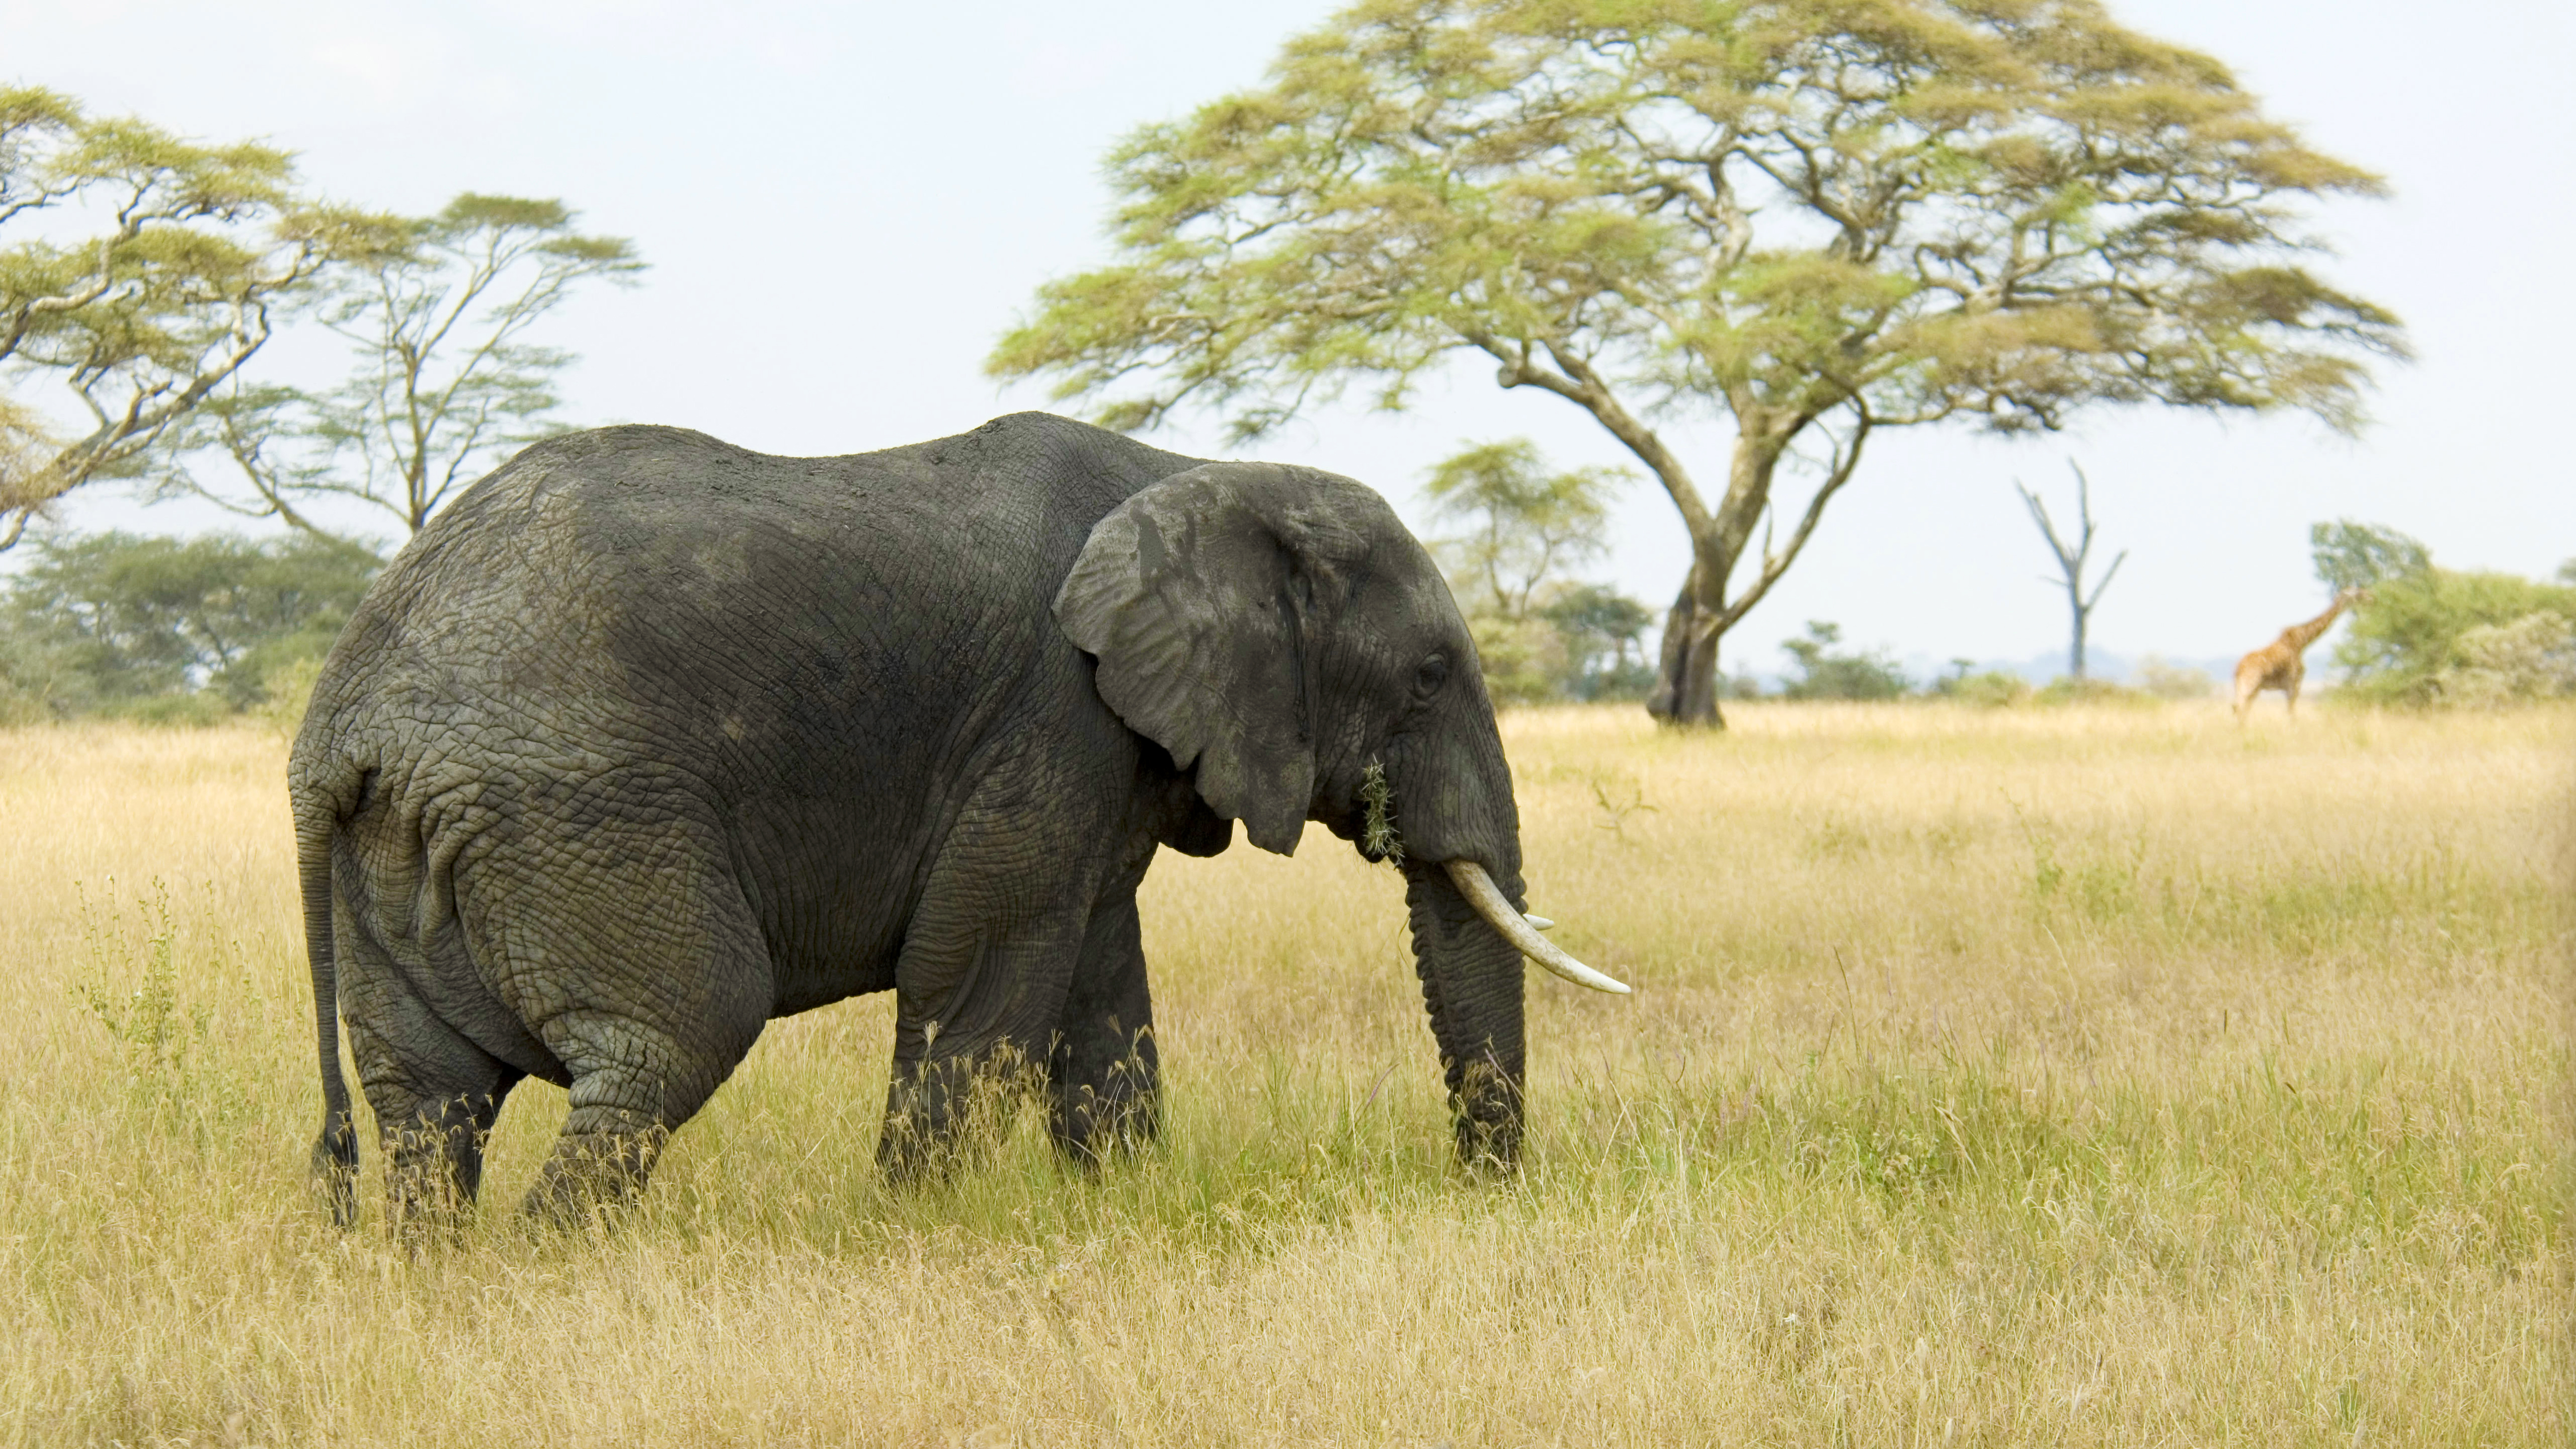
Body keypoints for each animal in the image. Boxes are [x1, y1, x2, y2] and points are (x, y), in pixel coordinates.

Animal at [296, 410, 1628, 1217]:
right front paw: (911, 1225)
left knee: (429, 1101)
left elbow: (1098, 982)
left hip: (405, 851)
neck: (1193, 476)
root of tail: (339, 721)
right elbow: (981, 975)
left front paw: (1118, 1207)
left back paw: (448, 1277)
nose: (1480, 1191)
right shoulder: (1049, 716)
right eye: (1426, 677)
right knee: (670, 1039)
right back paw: (553, 1265)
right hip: (576, 814)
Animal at [2225, 583, 2359, 716]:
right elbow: (2292, 713)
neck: (2302, 642)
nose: (2365, 595)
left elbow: (2291, 712)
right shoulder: (2293, 684)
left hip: (2249, 688)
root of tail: (2237, 669)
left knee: (2240, 709)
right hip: (2250, 685)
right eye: (2353, 592)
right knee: (2239, 708)